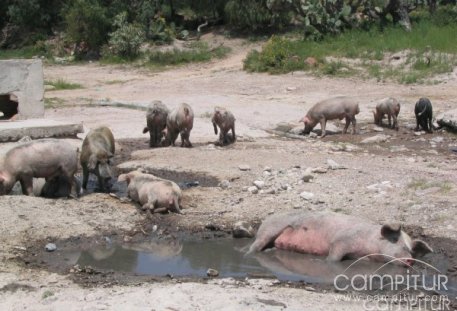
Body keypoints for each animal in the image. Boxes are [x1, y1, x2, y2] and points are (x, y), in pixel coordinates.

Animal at [248, 211, 432, 266]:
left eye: (411, 250)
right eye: (397, 241)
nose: (410, 259)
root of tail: (266, 219)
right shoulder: (342, 241)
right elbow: (334, 256)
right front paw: (327, 262)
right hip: (269, 230)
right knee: (255, 246)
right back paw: (248, 254)